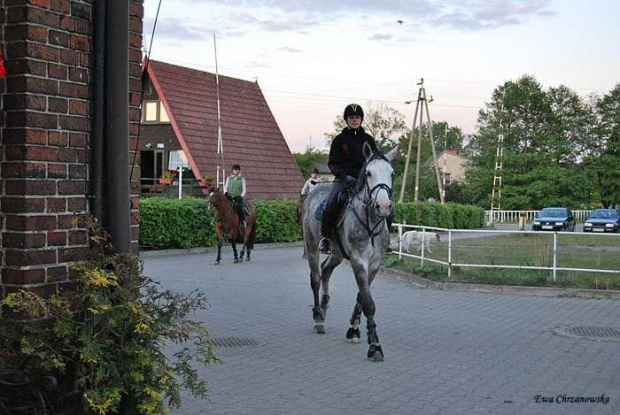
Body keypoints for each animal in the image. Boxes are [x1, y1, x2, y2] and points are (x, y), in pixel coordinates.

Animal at [302, 145, 398, 362]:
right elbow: (368, 302)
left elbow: (361, 297)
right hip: (311, 247)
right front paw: (375, 346)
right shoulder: (358, 261)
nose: (384, 206)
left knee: (326, 270)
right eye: (368, 173)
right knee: (316, 278)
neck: (370, 221)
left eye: (392, 173)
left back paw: (324, 308)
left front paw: (353, 330)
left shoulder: (374, 264)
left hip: (337, 254)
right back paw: (318, 319)